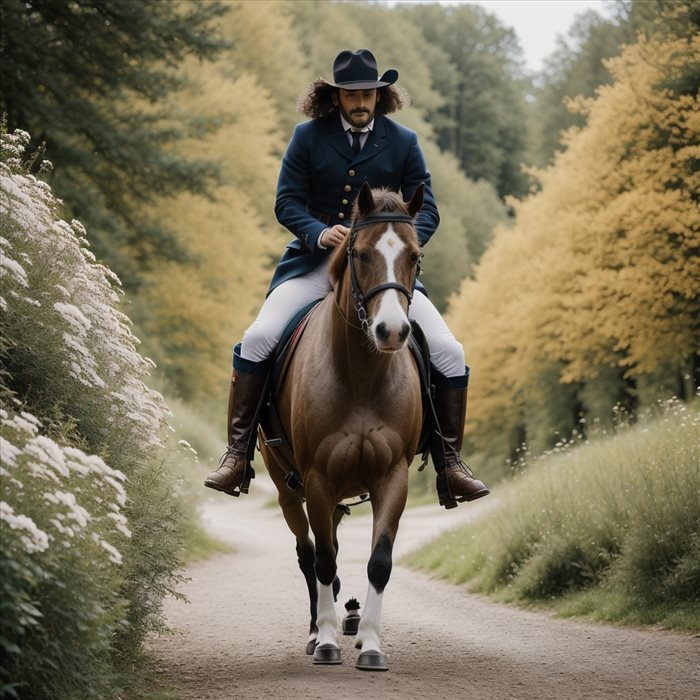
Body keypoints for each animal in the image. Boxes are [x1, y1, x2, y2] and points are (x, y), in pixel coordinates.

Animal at [260, 182, 426, 672]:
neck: (362, 375)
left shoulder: (392, 476)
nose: (391, 331)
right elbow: (324, 561)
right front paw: (329, 640)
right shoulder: (317, 478)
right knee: (309, 553)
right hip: (287, 486)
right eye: (362, 254)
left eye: (414, 256)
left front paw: (370, 644)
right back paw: (319, 630)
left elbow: (379, 562)